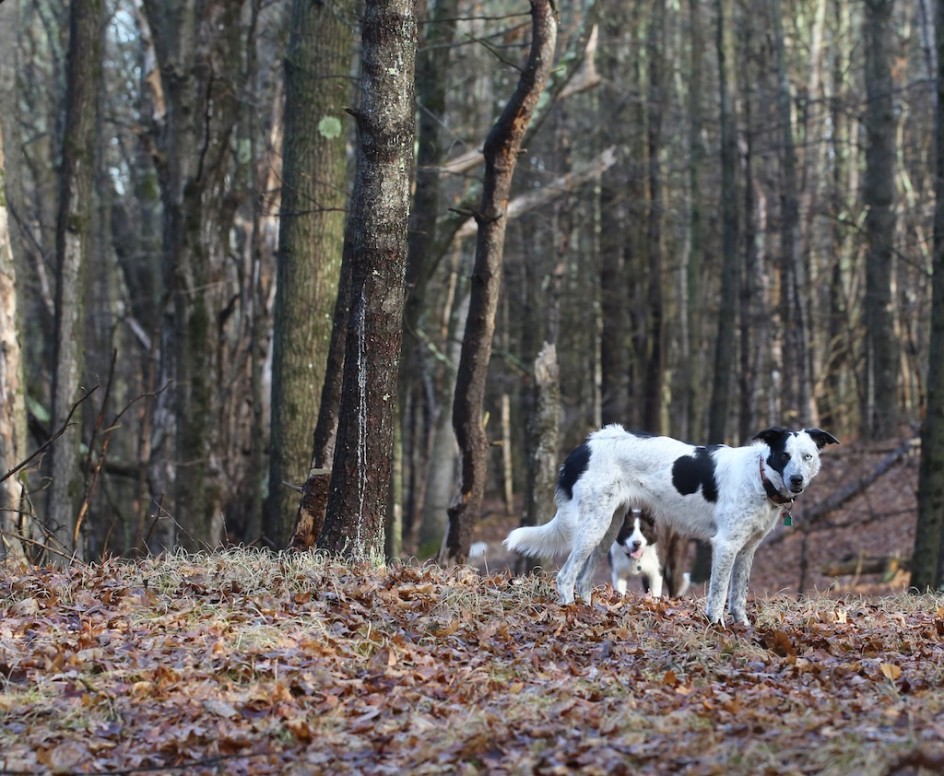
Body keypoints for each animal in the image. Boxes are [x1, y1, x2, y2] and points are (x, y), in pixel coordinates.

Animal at [506, 424, 836, 624]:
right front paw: (716, 625)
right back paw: (569, 610)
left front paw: (741, 625)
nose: (797, 480)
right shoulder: (725, 545)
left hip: (609, 528)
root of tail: (584, 447)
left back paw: (589, 611)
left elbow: (739, 594)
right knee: (565, 577)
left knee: (584, 579)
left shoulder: (747, 549)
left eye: (807, 457)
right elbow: (719, 593)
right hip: (594, 527)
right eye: (784, 455)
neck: (760, 475)